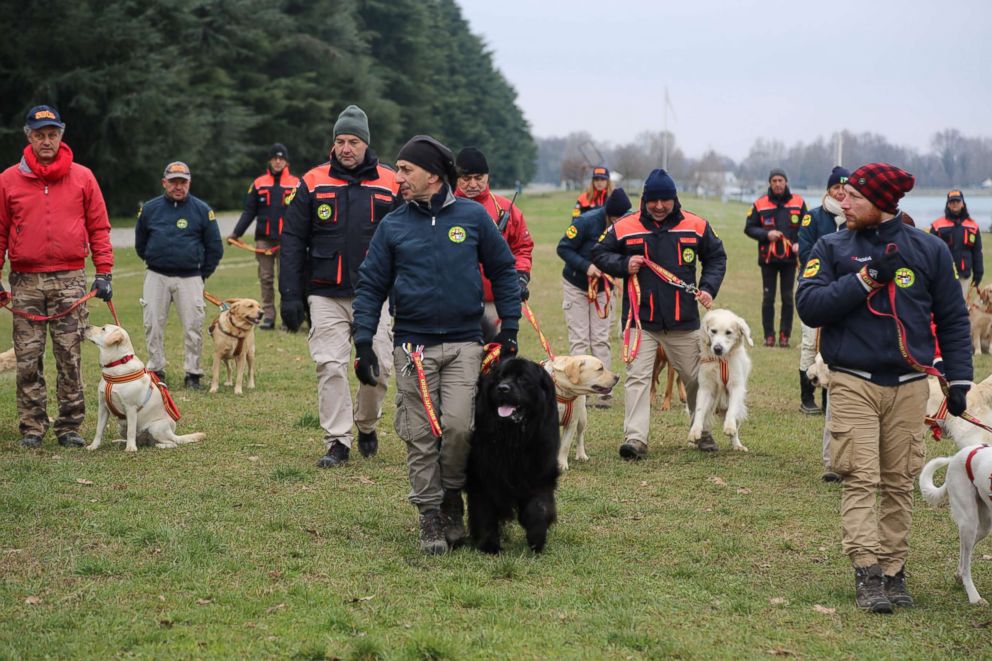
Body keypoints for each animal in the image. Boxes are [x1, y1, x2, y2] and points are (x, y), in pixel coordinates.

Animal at [86, 324, 206, 452]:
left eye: (103, 329)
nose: (87, 326)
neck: (117, 364)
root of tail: (173, 434)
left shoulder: (131, 408)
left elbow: (131, 431)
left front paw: (130, 449)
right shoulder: (103, 407)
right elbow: (99, 429)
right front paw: (93, 446)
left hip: (156, 427)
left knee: (172, 443)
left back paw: (159, 445)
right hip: (121, 427)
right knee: (140, 440)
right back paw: (120, 442)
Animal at [464, 356, 560, 552]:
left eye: (523, 379)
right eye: (500, 378)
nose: (503, 388)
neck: (513, 438)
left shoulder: (541, 471)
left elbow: (539, 507)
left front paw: (536, 537)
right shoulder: (482, 475)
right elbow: (484, 510)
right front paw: (489, 545)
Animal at [688, 306, 752, 452]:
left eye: (728, 332)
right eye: (713, 331)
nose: (717, 348)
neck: (721, 360)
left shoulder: (736, 386)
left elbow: (732, 410)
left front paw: (729, 427)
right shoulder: (705, 387)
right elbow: (699, 410)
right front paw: (695, 431)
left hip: (738, 409)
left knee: (735, 428)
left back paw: (737, 445)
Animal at [920, 444, 992, 604]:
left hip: (982, 526)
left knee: (964, 549)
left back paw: (959, 576)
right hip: (969, 521)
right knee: (966, 562)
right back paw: (974, 596)